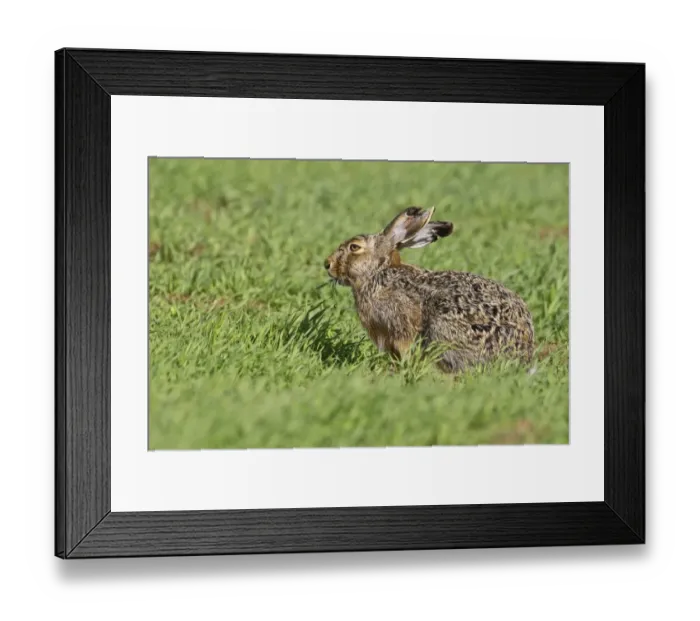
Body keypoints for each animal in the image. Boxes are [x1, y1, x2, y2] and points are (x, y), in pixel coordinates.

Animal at [324, 206, 535, 373]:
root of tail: (522, 355)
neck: (377, 273)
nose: (327, 264)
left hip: (443, 331)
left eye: (354, 247)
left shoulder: (401, 327)